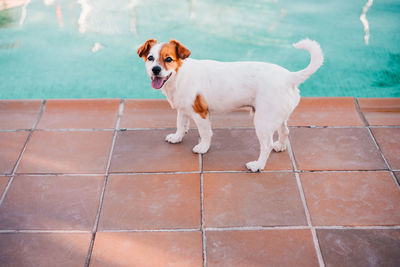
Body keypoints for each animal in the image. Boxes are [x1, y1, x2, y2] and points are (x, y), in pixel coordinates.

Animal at [136, 38, 324, 172]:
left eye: (168, 59)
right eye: (151, 58)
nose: (155, 70)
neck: (179, 74)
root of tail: (289, 77)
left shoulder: (200, 113)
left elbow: (205, 133)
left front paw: (203, 148)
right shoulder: (183, 110)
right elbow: (181, 125)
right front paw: (177, 137)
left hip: (262, 121)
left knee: (266, 145)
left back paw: (258, 165)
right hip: (276, 116)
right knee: (285, 131)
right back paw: (281, 146)